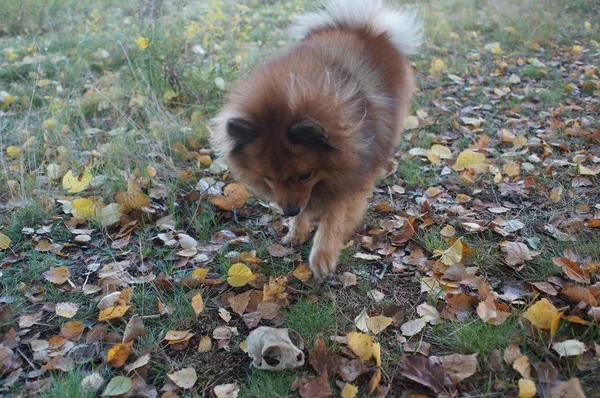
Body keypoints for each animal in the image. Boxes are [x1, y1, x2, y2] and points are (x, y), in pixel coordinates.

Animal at [211, 0, 422, 280]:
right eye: (268, 178)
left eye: (304, 176)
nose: (288, 211)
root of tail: (364, 27)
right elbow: (307, 206)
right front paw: (296, 230)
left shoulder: (348, 175)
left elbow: (334, 216)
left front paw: (323, 256)